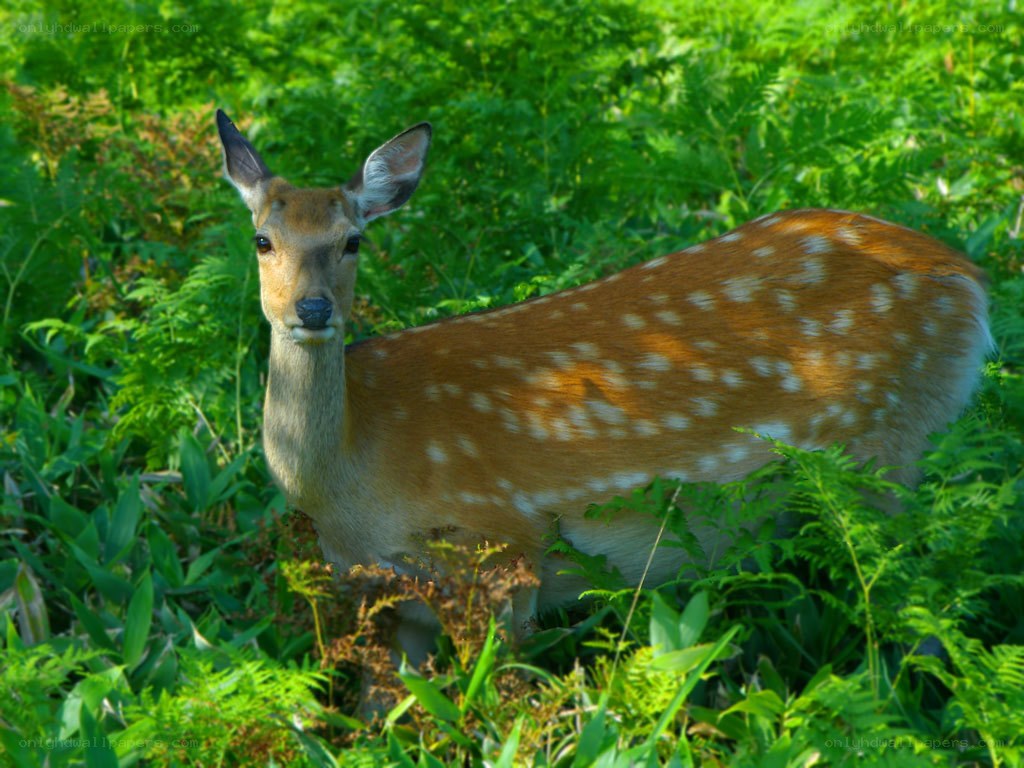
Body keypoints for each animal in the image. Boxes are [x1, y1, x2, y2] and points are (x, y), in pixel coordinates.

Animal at [216, 109, 992, 661]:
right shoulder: (385, 604)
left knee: (925, 605)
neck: (348, 489)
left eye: (353, 240)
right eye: (262, 239)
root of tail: (971, 282)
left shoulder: (502, 551)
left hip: (885, 448)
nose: (313, 309)